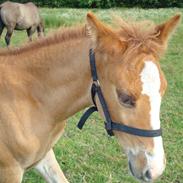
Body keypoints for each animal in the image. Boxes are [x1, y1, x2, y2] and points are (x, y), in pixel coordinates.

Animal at [0, 12, 180, 182]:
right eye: (124, 97)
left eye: (163, 91)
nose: (154, 171)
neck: (30, 98)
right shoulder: (10, 171)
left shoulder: (44, 156)